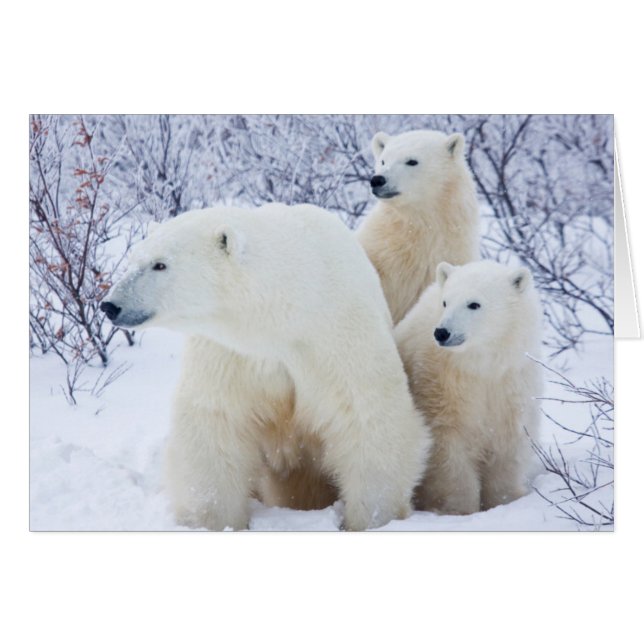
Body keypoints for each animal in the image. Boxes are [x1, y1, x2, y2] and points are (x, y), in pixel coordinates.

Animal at [102, 203, 431, 531]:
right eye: (133, 259)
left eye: (160, 265)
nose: (110, 305)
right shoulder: (230, 354)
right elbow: (215, 422)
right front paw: (212, 520)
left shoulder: (335, 337)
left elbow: (367, 417)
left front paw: (372, 518)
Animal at [394, 260, 543, 515]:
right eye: (445, 301)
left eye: (474, 304)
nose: (442, 332)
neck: (479, 365)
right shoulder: (439, 385)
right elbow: (449, 450)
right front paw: (461, 510)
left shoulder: (510, 384)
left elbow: (507, 443)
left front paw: (505, 500)